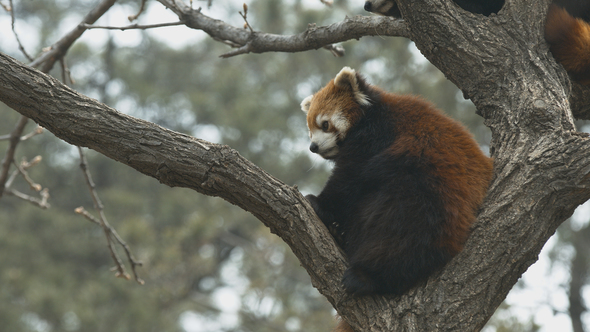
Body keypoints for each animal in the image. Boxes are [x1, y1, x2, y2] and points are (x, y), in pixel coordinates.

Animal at [300, 67, 494, 298]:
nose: (313, 147)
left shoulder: (377, 137)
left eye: (325, 124)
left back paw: (367, 276)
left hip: (432, 193)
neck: (369, 116)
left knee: (404, 231)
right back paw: (340, 234)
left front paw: (318, 203)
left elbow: (349, 177)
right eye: (310, 131)